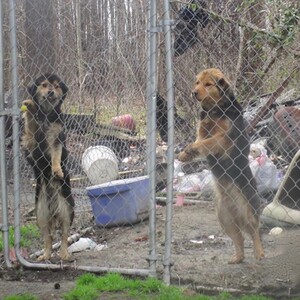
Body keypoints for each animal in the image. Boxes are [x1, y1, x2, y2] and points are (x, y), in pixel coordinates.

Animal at [21, 72, 74, 260]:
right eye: (44, 85)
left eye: (57, 86)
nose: (51, 92)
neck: (45, 115)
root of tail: (53, 210)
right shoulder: (30, 142)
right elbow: (30, 124)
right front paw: (30, 108)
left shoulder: (57, 138)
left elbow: (56, 156)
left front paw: (57, 170)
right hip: (41, 214)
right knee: (48, 238)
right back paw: (45, 255)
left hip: (67, 210)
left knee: (64, 235)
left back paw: (64, 254)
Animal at [177, 68, 264, 262]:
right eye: (197, 83)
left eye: (208, 84)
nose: (193, 93)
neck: (214, 110)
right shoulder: (202, 131)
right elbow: (199, 141)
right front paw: (185, 154)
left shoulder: (223, 139)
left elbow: (206, 143)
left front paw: (190, 149)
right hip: (224, 219)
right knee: (239, 239)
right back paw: (237, 258)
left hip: (249, 211)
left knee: (255, 232)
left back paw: (259, 253)